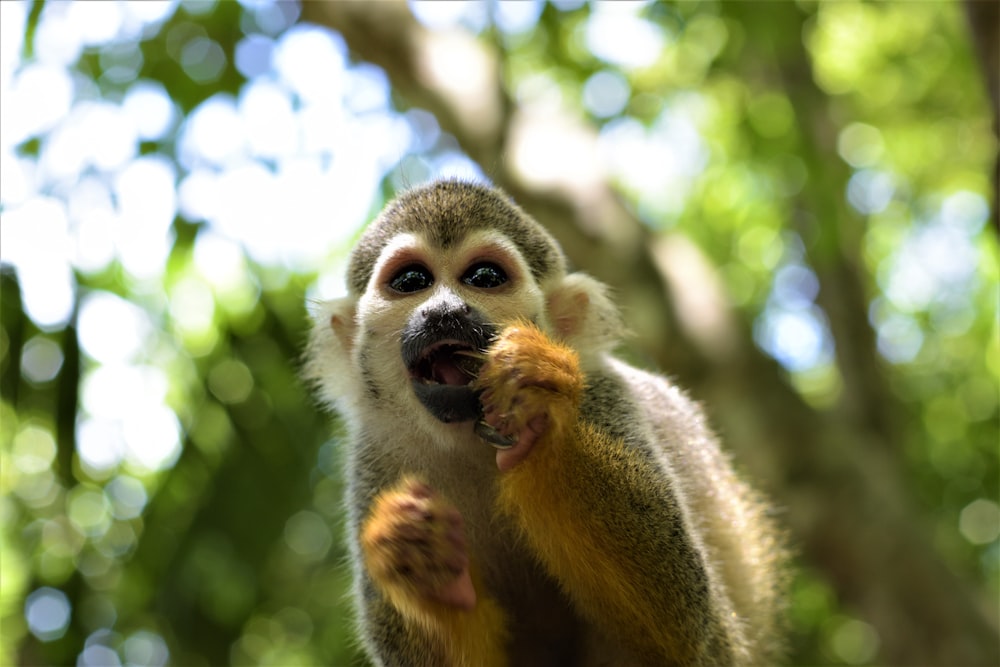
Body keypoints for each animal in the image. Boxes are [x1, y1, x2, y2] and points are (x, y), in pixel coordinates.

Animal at [306, 180, 788, 664]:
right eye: (411, 282)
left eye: (484, 278)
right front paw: (423, 569)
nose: (444, 311)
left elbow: (691, 630)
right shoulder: (376, 460)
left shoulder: (604, 394)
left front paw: (541, 407)